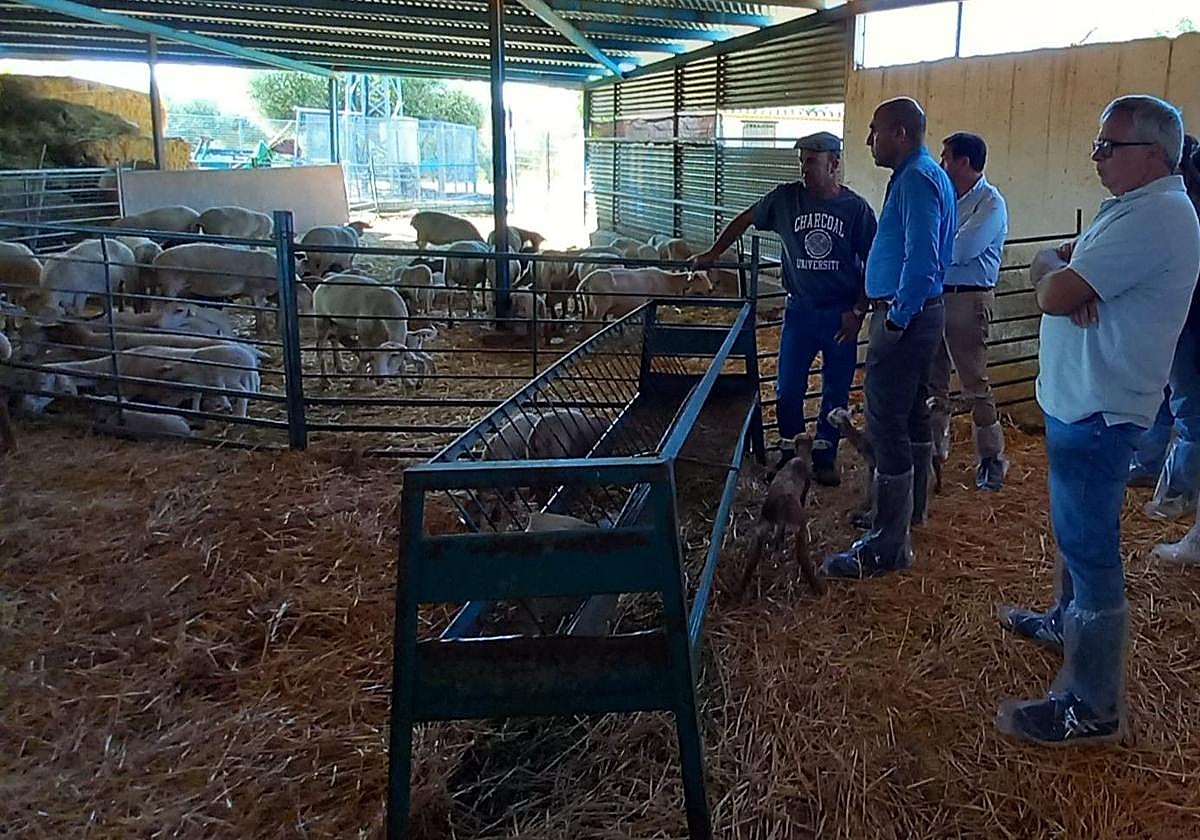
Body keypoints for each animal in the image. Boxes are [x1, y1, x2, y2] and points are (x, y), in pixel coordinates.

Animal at [737, 434, 823, 596]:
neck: (800, 458)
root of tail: (780, 509)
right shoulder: (805, 489)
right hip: (798, 526)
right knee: (802, 555)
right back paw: (817, 587)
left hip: (764, 524)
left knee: (752, 557)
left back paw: (740, 589)